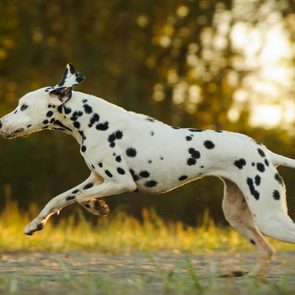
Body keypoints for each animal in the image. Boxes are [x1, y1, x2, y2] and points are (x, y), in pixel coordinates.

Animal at [0, 63, 295, 276]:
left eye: (23, 106)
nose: (0, 122)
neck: (93, 121)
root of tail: (265, 153)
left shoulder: (120, 182)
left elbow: (81, 198)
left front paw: (96, 207)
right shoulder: (95, 178)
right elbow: (59, 198)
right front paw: (35, 224)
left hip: (269, 219)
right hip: (239, 217)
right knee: (267, 252)